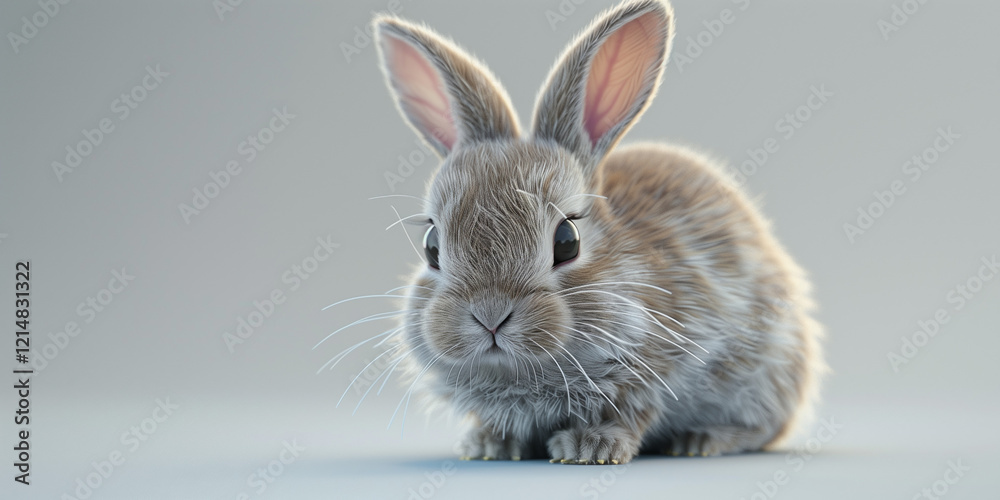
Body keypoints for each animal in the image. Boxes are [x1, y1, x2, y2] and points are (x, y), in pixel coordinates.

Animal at [369, 0, 824, 465]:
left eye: (567, 242)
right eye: (432, 247)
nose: (489, 315)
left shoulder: (653, 368)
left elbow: (629, 413)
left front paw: (589, 447)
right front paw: (486, 445)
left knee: (765, 426)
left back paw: (701, 440)